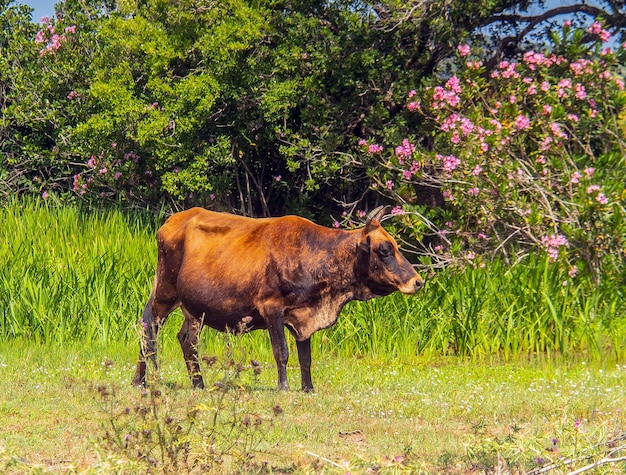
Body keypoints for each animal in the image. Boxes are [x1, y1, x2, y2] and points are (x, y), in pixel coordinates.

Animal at [132, 206, 424, 392]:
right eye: (384, 249)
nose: (417, 281)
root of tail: (173, 220)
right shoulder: (272, 308)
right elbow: (281, 351)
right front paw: (283, 387)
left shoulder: (303, 317)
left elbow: (305, 357)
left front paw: (308, 388)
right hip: (165, 292)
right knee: (149, 330)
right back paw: (142, 381)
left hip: (193, 309)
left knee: (187, 339)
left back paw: (198, 383)